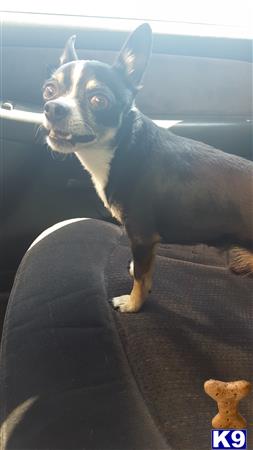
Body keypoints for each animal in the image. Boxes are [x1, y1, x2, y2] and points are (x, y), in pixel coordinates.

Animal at [42, 23, 253, 312]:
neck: (122, 148)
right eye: (49, 90)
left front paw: (133, 304)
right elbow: (145, 269)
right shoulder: (145, 243)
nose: (52, 108)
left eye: (99, 100)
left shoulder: (141, 235)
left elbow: (142, 279)